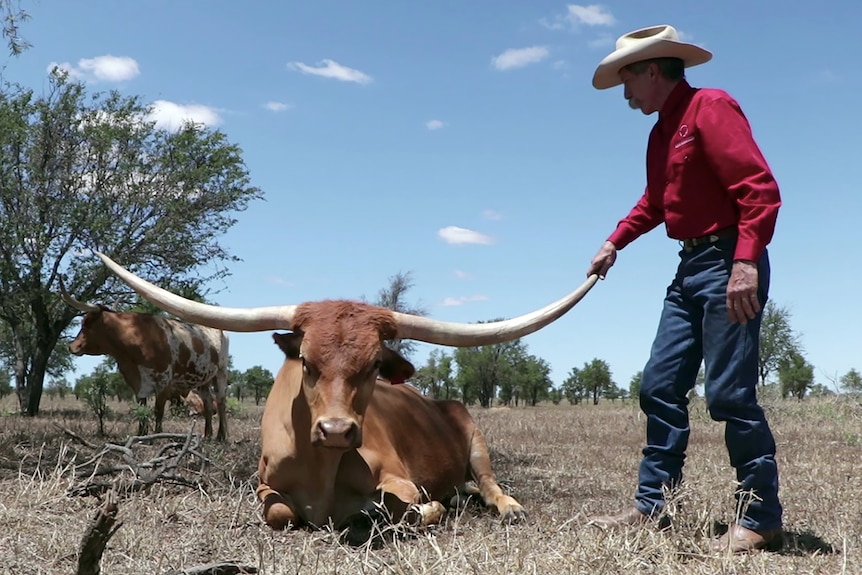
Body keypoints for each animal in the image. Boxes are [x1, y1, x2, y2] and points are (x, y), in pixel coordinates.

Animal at [60, 286, 233, 444]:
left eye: (86, 323)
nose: (71, 346)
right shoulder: (138, 383)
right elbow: (141, 408)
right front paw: (141, 435)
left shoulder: (164, 381)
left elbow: (158, 410)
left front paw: (157, 435)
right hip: (203, 378)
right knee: (208, 403)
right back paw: (207, 435)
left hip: (221, 372)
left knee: (221, 402)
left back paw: (221, 436)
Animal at [91, 252, 596, 540]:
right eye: (307, 362)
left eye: (373, 365)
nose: (336, 430)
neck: (322, 470)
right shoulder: (264, 485)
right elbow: (279, 511)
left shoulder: (401, 478)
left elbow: (404, 507)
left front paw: (425, 509)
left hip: (475, 437)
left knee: (488, 482)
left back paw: (506, 507)